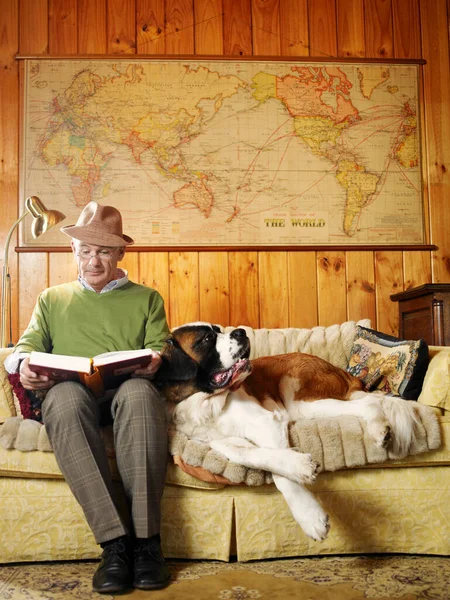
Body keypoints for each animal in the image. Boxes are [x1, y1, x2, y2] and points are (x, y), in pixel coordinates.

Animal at [156, 324, 420, 544]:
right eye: (207, 339)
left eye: (218, 330)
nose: (240, 331)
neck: (204, 405)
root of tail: (344, 372)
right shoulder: (220, 442)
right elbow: (250, 455)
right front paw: (298, 468)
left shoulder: (266, 421)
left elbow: (281, 475)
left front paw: (309, 514)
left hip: (300, 401)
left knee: (369, 403)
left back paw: (379, 430)